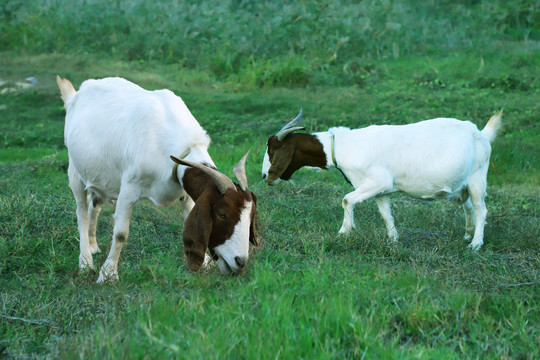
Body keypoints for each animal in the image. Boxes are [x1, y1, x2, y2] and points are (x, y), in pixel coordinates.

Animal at [56, 76, 258, 282]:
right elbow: (120, 234)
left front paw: (206, 263)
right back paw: (85, 261)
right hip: (74, 171)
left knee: (94, 205)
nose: (240, 261)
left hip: (100, 176)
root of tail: (75, 95)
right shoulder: (129, 188)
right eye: (222, 214)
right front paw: (108, 274)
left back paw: (93, 246)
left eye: (251, 216)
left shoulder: (186, 193)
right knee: (82, 211)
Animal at [262, 109, 502, 250]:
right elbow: (386, 214)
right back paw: (467, 235)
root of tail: (482, 133)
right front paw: (393, 239)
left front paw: (344, 232)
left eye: (273, 150)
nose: (264, 176)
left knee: (481, 209)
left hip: (478, 177)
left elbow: (346, 200)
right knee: (468, 206)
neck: (343, 145)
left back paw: (476, 244)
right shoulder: (381, 191)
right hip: (463, 184)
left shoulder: (378, 182)